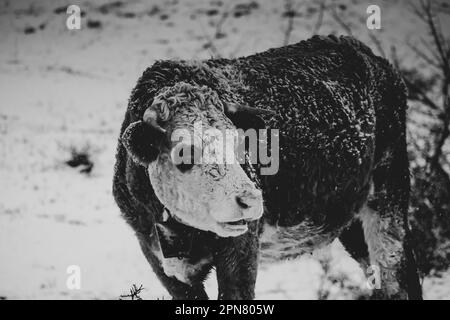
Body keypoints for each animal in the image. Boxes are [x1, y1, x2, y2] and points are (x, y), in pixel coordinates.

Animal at [111, 35, 422, 300]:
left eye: (239, 142)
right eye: (183, 153)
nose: (249, 199)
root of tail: (374, 60)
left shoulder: (242, 249)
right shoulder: (161, 262)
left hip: (389, 193)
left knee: (398, 275)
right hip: (349, 217)